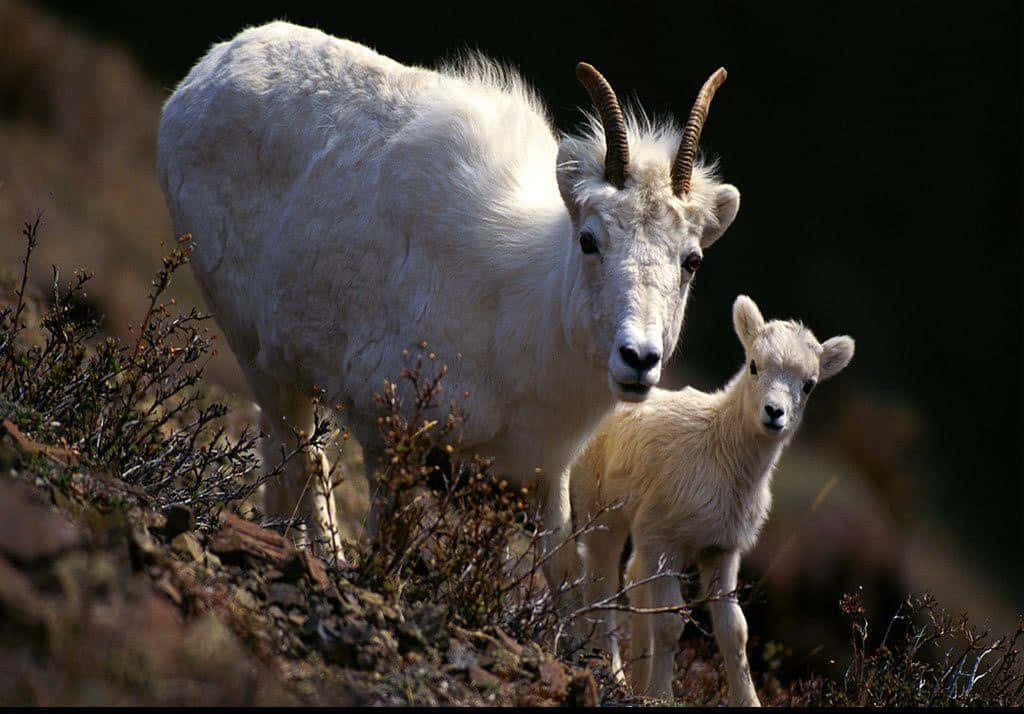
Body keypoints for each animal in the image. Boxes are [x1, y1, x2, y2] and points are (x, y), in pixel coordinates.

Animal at [156, 21, 741, 596]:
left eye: (691, 260)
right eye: (589, 240)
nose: (638, 359)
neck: (519, 307)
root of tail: (206, 72)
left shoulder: (542, 473)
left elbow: (563, 577)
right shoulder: (386, 433)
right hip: (253, 351)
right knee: (297, 459)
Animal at [570, 295, 855, 703]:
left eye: (809, 385)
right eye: (754, 365)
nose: (774, 413)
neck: (721, 454)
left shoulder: (721, 550)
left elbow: (735, 632)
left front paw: (749, 701)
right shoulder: (663, 540)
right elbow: (670, 623)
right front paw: (662, 696)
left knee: (632, 579)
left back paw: (635, 680)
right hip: (600, 511)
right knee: (601, 580)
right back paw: (612, 672)